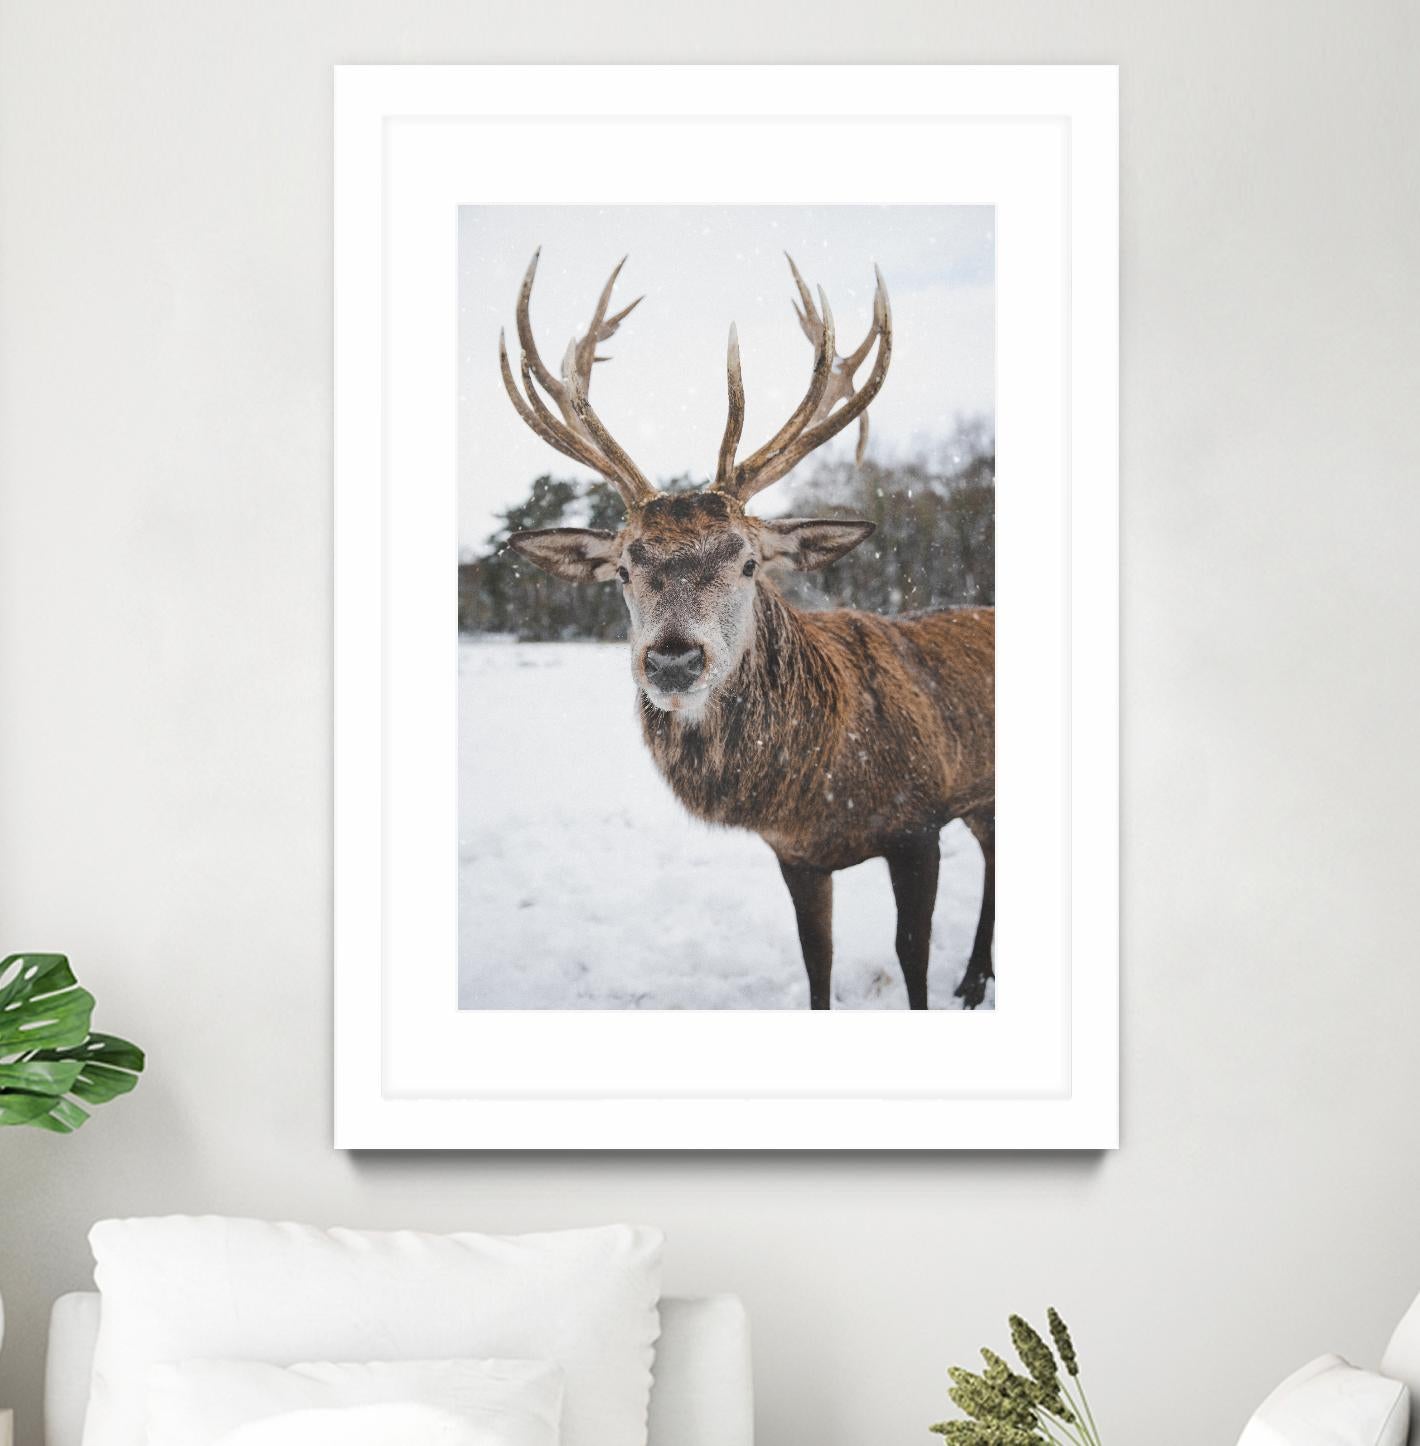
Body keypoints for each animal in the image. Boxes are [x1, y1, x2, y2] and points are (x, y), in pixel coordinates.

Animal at [498, 249, 995, 1009]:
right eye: (623, 568)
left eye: (749, 561)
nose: (673, 661)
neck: (821, 789)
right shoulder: (795, 855)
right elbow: (816, 961)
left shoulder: (920, 822)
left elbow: (911, 958)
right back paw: (973, 977)